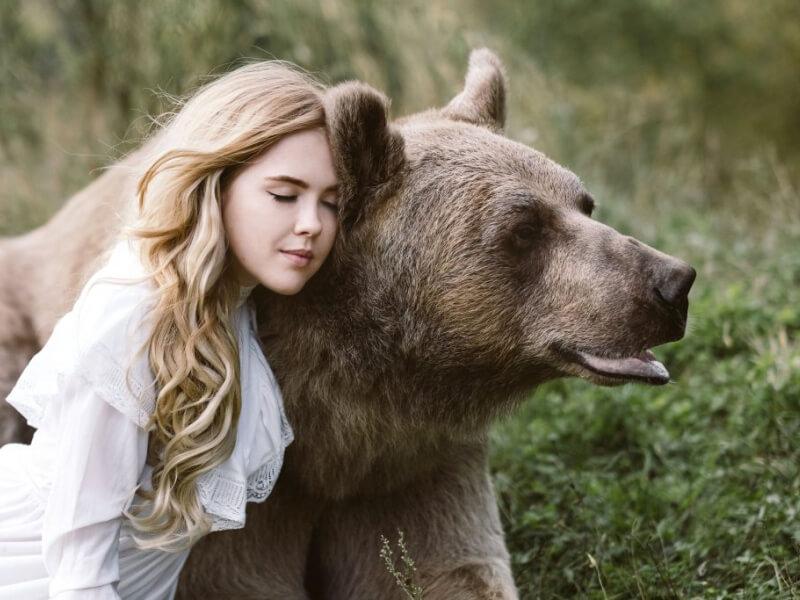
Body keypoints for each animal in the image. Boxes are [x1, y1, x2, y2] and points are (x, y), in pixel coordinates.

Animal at [0, 49, 695, 599]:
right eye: (524, 228)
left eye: (583, 203)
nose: (671, 282)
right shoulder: (232, 493)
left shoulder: (414, 464)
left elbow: (448, 569)